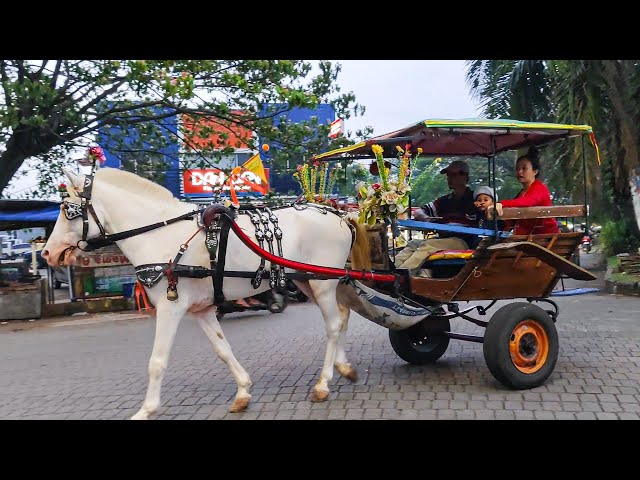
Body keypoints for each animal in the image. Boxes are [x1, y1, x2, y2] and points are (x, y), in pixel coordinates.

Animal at [41, 169, 370, 420]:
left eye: (67, 210)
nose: (46, 253)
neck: (160, 235)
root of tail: (340, 216)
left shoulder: (170, 307)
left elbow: (157, 360)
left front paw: (147, 409)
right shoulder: (200, 309)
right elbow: (222, 349)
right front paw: (242, 390)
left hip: (322, 283)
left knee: (333, 325)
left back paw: (323, 384)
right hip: (307, 280)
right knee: (342, 315)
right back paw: (344, 367)